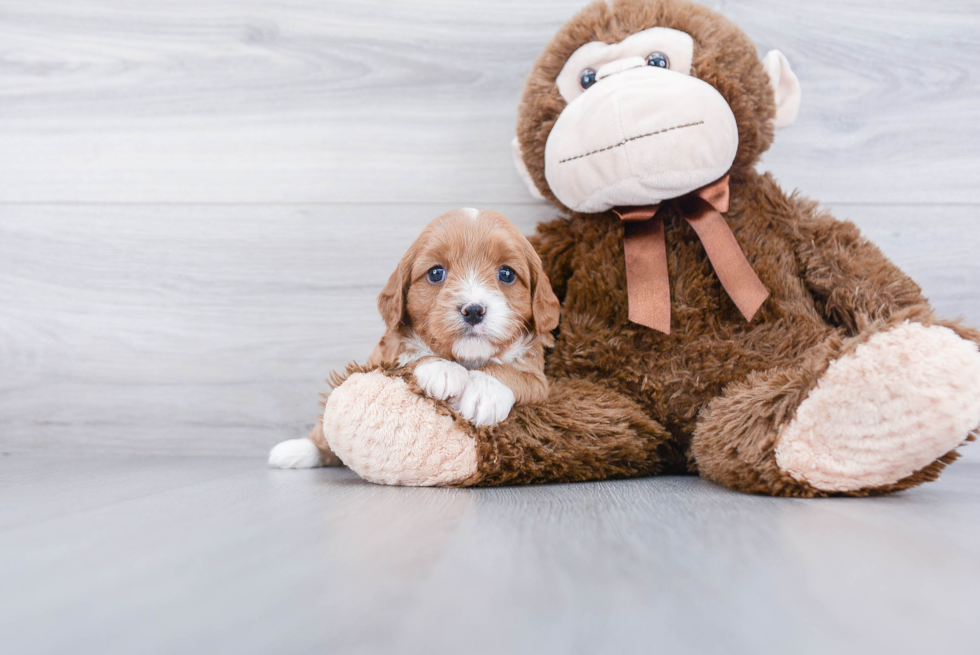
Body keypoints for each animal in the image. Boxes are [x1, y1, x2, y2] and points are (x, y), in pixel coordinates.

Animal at [368, 208, 564, 428]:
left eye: (507, 274)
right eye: (435, 273)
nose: (473, 311)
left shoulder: (540, 381)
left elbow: (516, 375)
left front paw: (486, 391)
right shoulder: (378, 359)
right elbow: (404, 358)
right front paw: (441, 368)